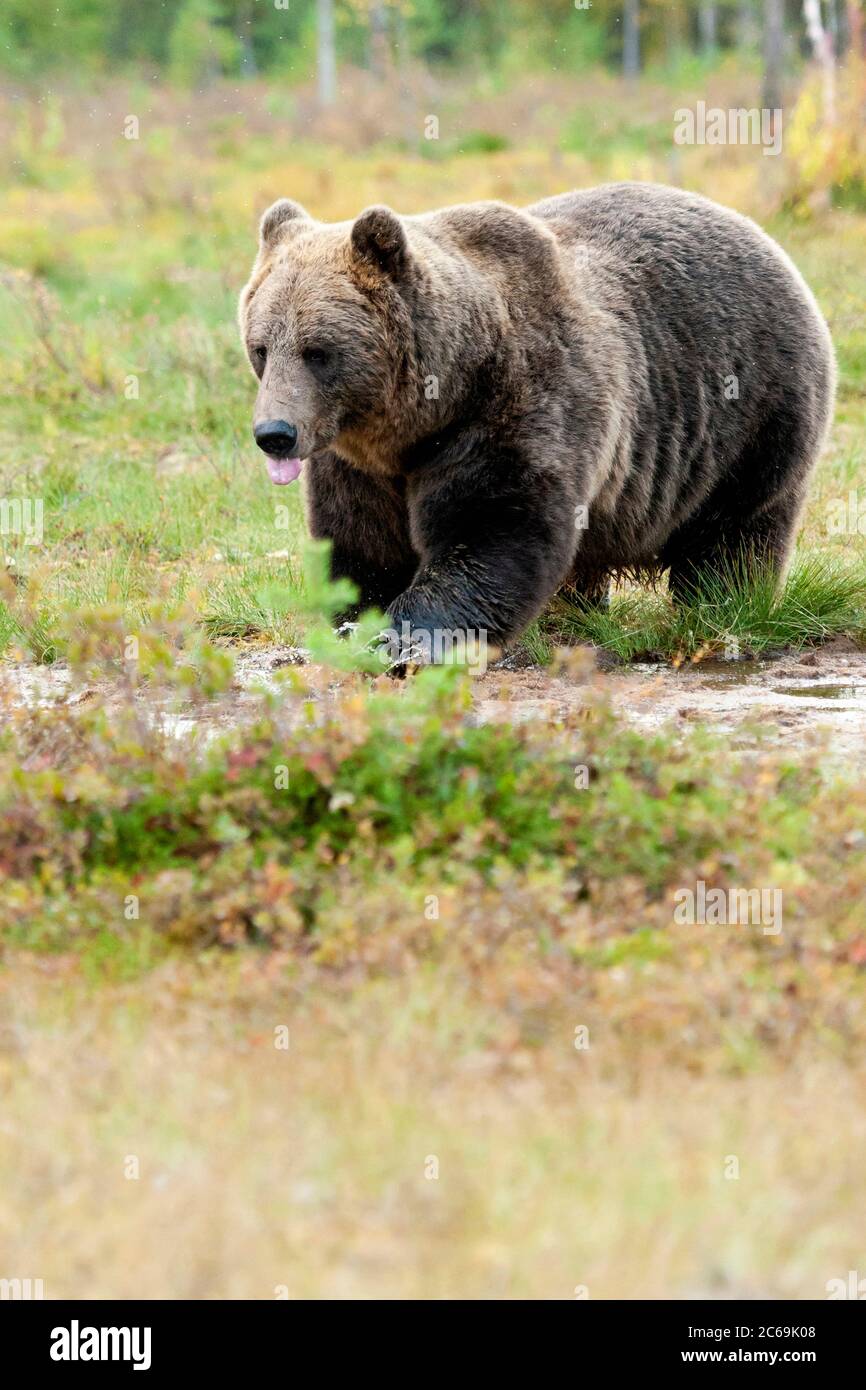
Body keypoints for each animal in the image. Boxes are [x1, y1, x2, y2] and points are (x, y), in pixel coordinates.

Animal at [240, 183, 839, 650]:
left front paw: (408, 635)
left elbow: (495, 527)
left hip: (751, 414)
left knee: (737, 532)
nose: (275, 434)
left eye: (318, 351)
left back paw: (724, 606)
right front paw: (357, 623)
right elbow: (363, 541)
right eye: (262, 348)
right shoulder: (358, 462)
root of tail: (762, 236)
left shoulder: (519, 403)